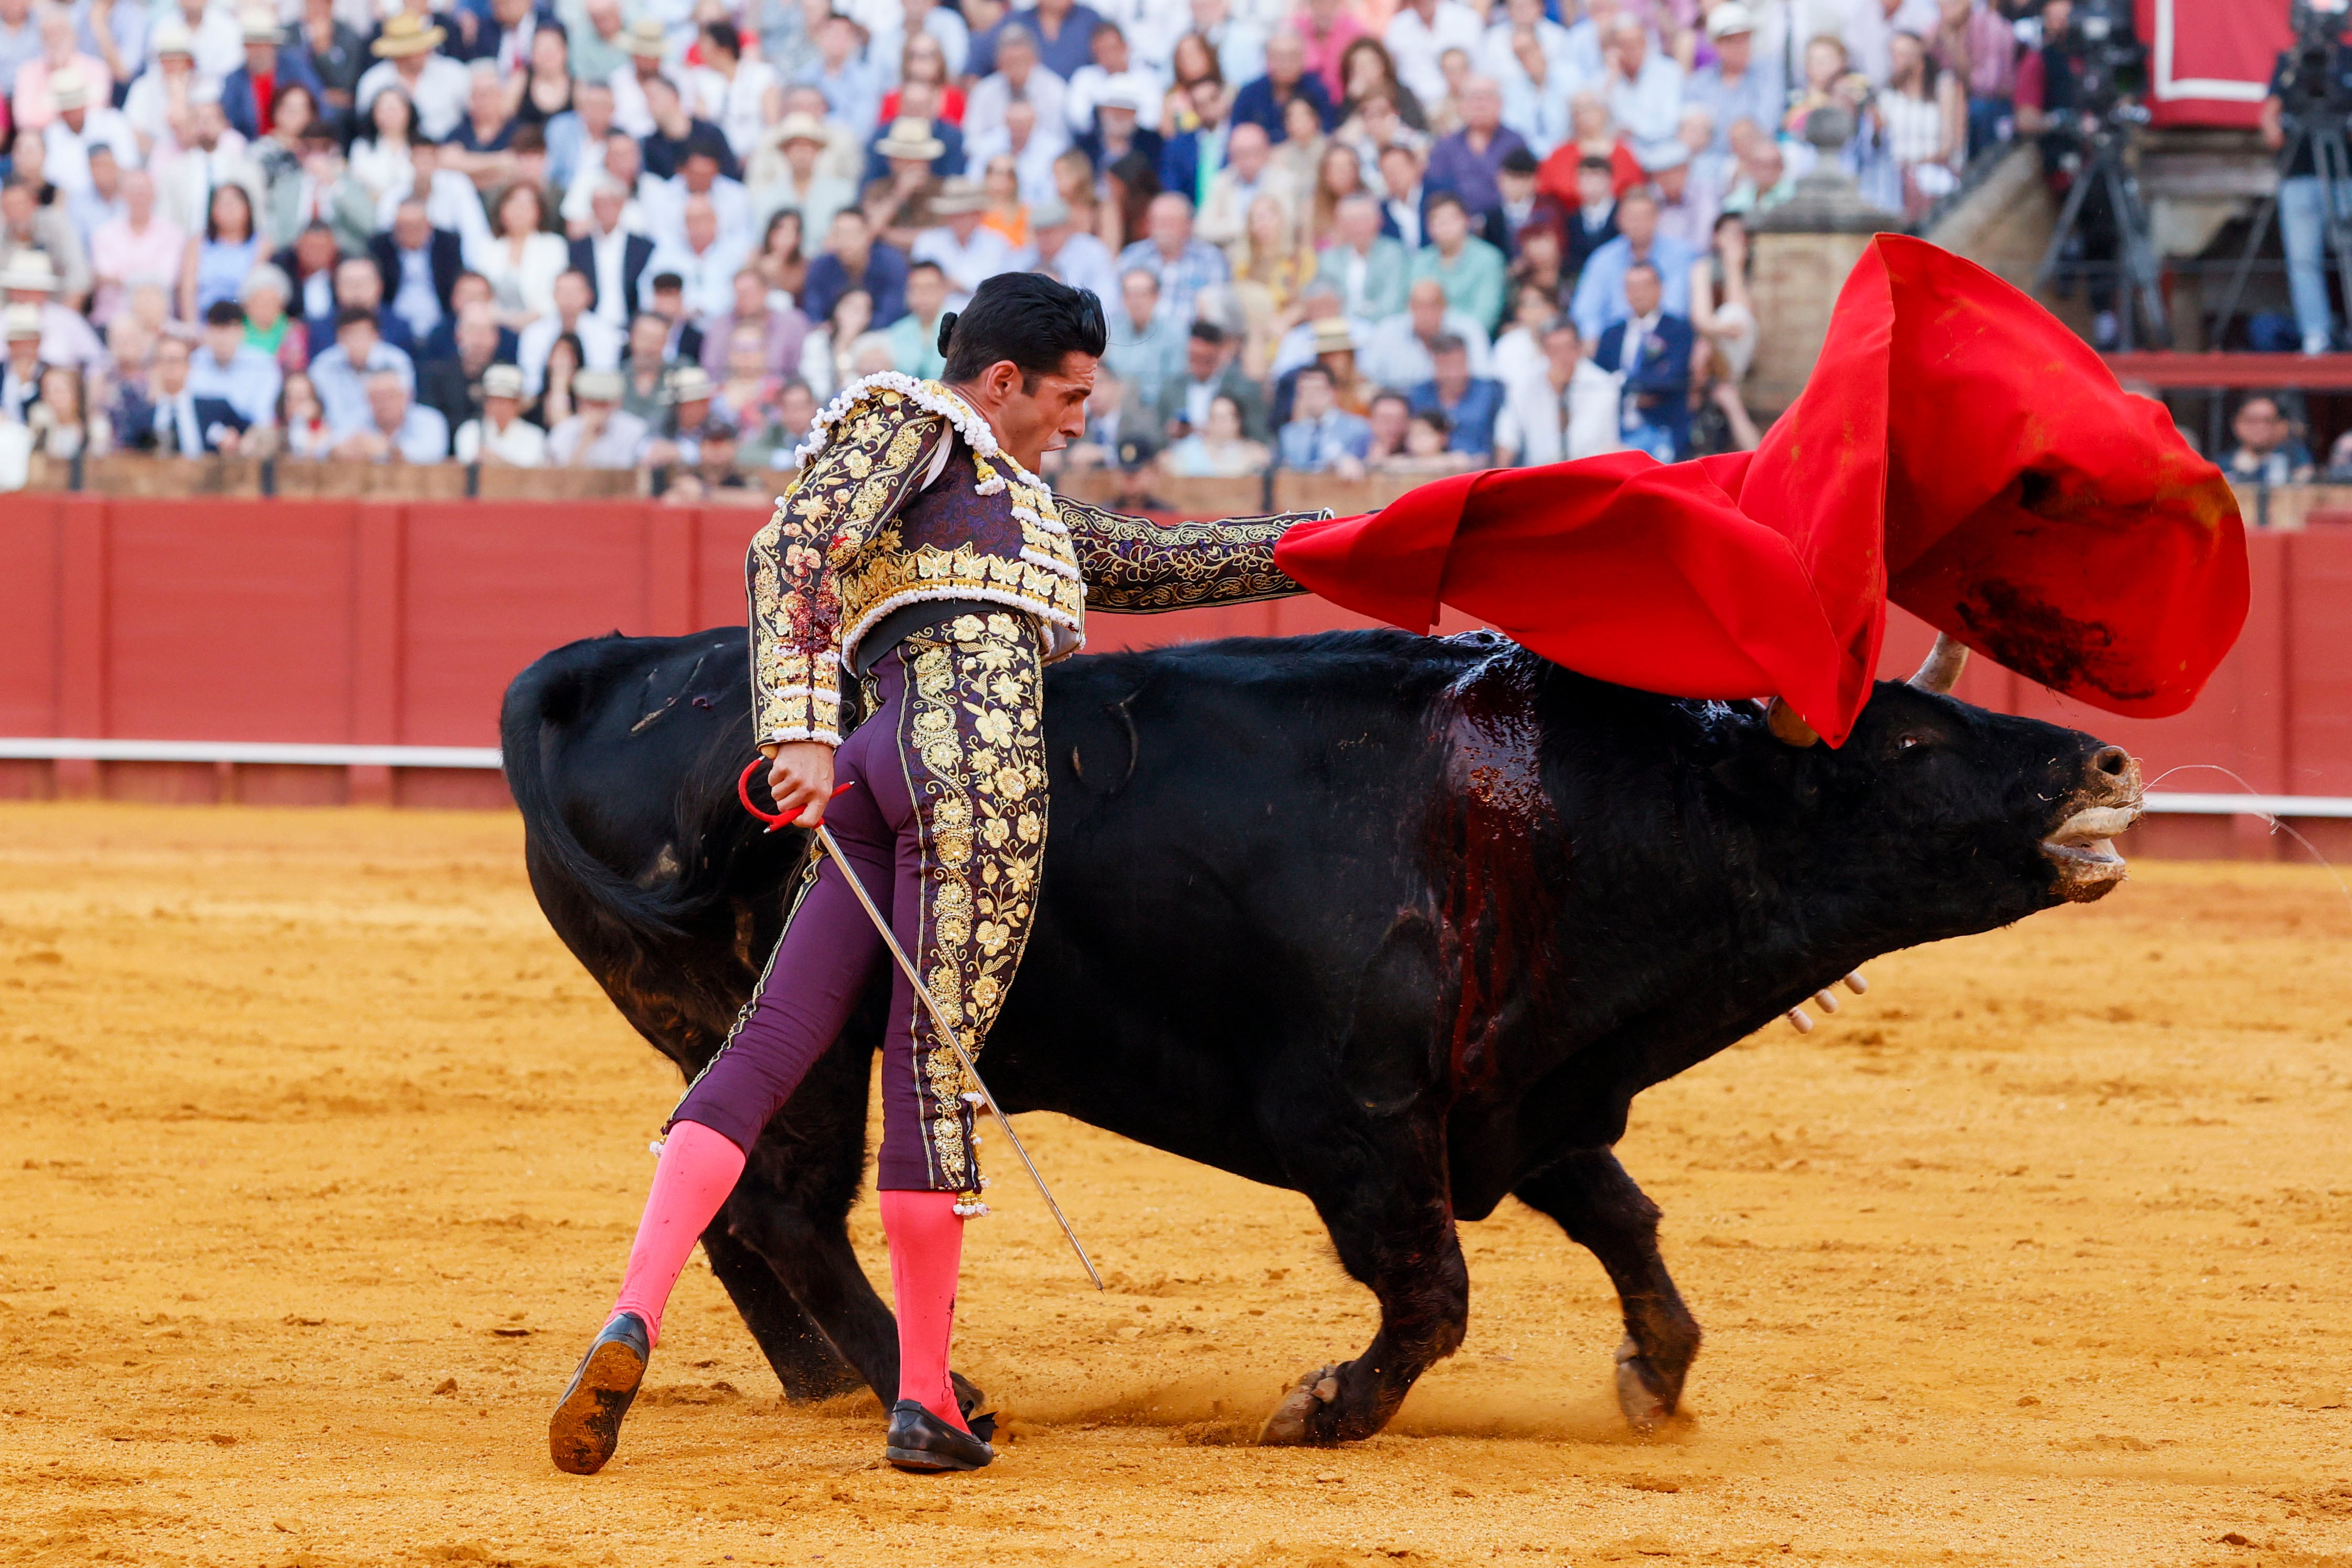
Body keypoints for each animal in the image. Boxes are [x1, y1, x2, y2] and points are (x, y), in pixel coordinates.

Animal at [505, 625, 2145, 1448]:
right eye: (1909, 737)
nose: (2108, 761)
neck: (1557, 808)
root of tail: (618, 665)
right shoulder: (1358, 1123)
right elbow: (1433, 1293)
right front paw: (1321, 1405)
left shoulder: (1514, 1091)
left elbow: (1624, 1222)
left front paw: (1652, 1377)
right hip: (806, 1018)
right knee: (788, 1202)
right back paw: (933, 1393)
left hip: (716, 1022)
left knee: (736, 1193)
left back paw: (820, 1380)